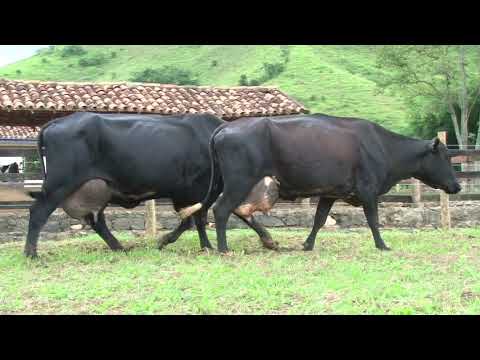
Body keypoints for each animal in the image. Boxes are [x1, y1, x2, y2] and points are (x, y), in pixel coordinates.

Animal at [23, 114, 278, 258]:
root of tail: (56, 122)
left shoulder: (202, 191)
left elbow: (204, 218)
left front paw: (267, 240)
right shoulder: (195, 190)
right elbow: (196, 219)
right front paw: (170, 241)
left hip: (97, 189)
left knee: (97, 221)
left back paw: (119, 247)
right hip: (59, 184)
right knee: (38, 212)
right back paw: (31, 253)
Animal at [181, 114, 462, 252]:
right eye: (446, 157)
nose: (458, 186)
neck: (383, 147)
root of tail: (225, 128)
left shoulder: (329, 193)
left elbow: (319, 219)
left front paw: (307, 244)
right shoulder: (368, 191)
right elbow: (373, 220)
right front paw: (382, 245)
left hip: (222, 183)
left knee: (208, 211)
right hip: (239, 181)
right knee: (222, 210)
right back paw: (223, 248)